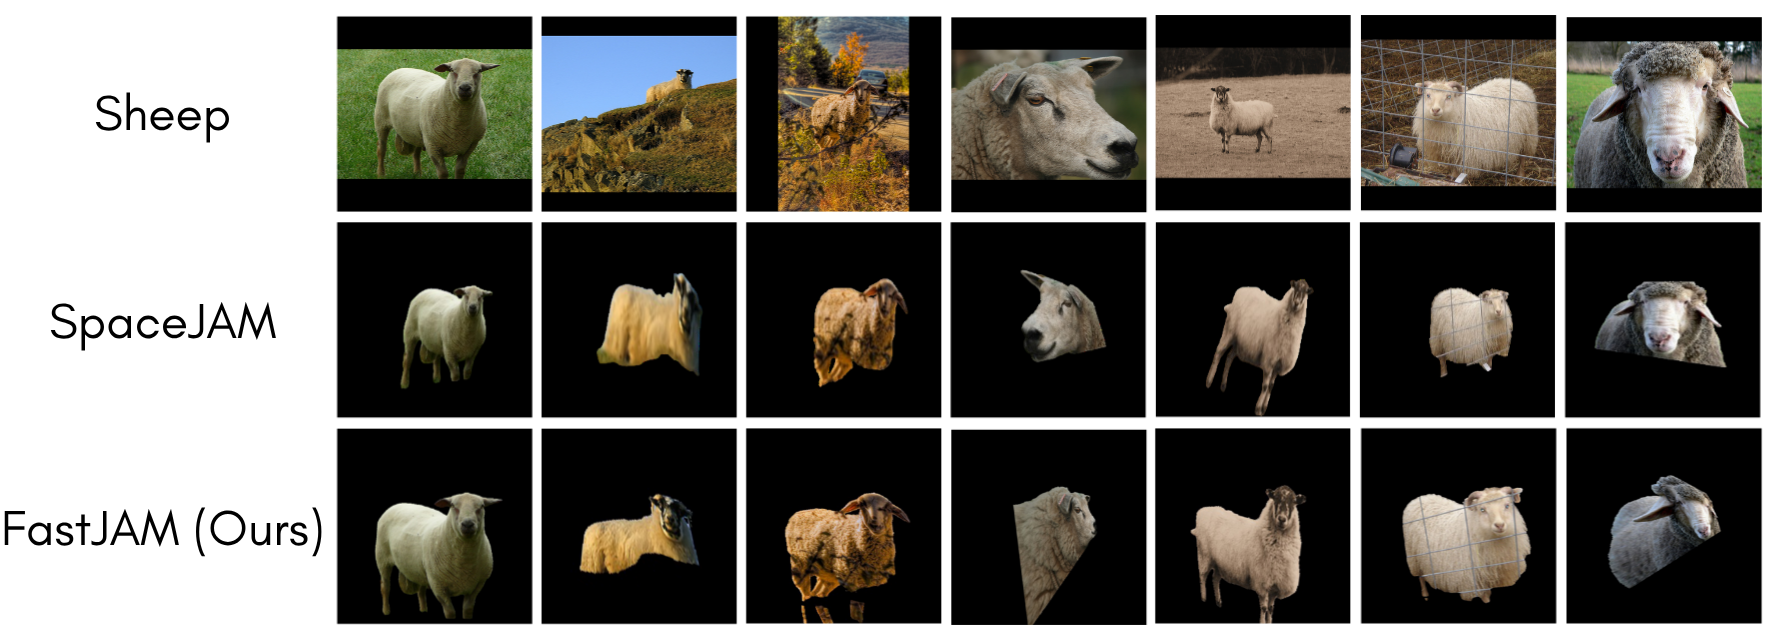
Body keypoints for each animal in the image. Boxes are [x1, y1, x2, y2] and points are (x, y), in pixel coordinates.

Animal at [785, 492, 910, 620]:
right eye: (862, 505)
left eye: (888, 508)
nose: (875, 524)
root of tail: (799, 513)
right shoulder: (851, 583)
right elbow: (856, 614)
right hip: (800, 566)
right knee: (806, 596)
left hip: (828, 575)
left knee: (818, 595)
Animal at [1193, 486, 1304, 624]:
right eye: (1275, 498)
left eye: (1294, 502)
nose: (1282, 519)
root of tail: (1204, 510)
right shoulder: (1262, 583)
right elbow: (1264, 608)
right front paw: (1262, 622)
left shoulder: (1274, 585)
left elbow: (1270, 609)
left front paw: (1269, 622)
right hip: (1204, 555)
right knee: (1202, 577)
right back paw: (1203, 598)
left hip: (1219, 563)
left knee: (1215, 579)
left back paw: (1218, 602)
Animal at [1205, 280, 1312, 417]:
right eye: (1295, 287)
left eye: (1306, 291)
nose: (1297, 302)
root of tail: (1240, 291)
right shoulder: (1269, 360)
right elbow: (1265, 386)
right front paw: (1258, 409)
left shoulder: (1277, 364)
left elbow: (1271, 386)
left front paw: (1264, 409)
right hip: (1229, 331)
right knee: (1218, 353)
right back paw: (1209, 381)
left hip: (1238, 342)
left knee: (1229, 358)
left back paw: (1223, 385)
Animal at [1401, 487, 1529, 604]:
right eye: (1482, 509)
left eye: (1507, 505)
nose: (1499, 525)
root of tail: (1420, 498)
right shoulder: (1471, 582)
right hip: (1414, 558)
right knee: (1420, 578)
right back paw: (1425, 595)